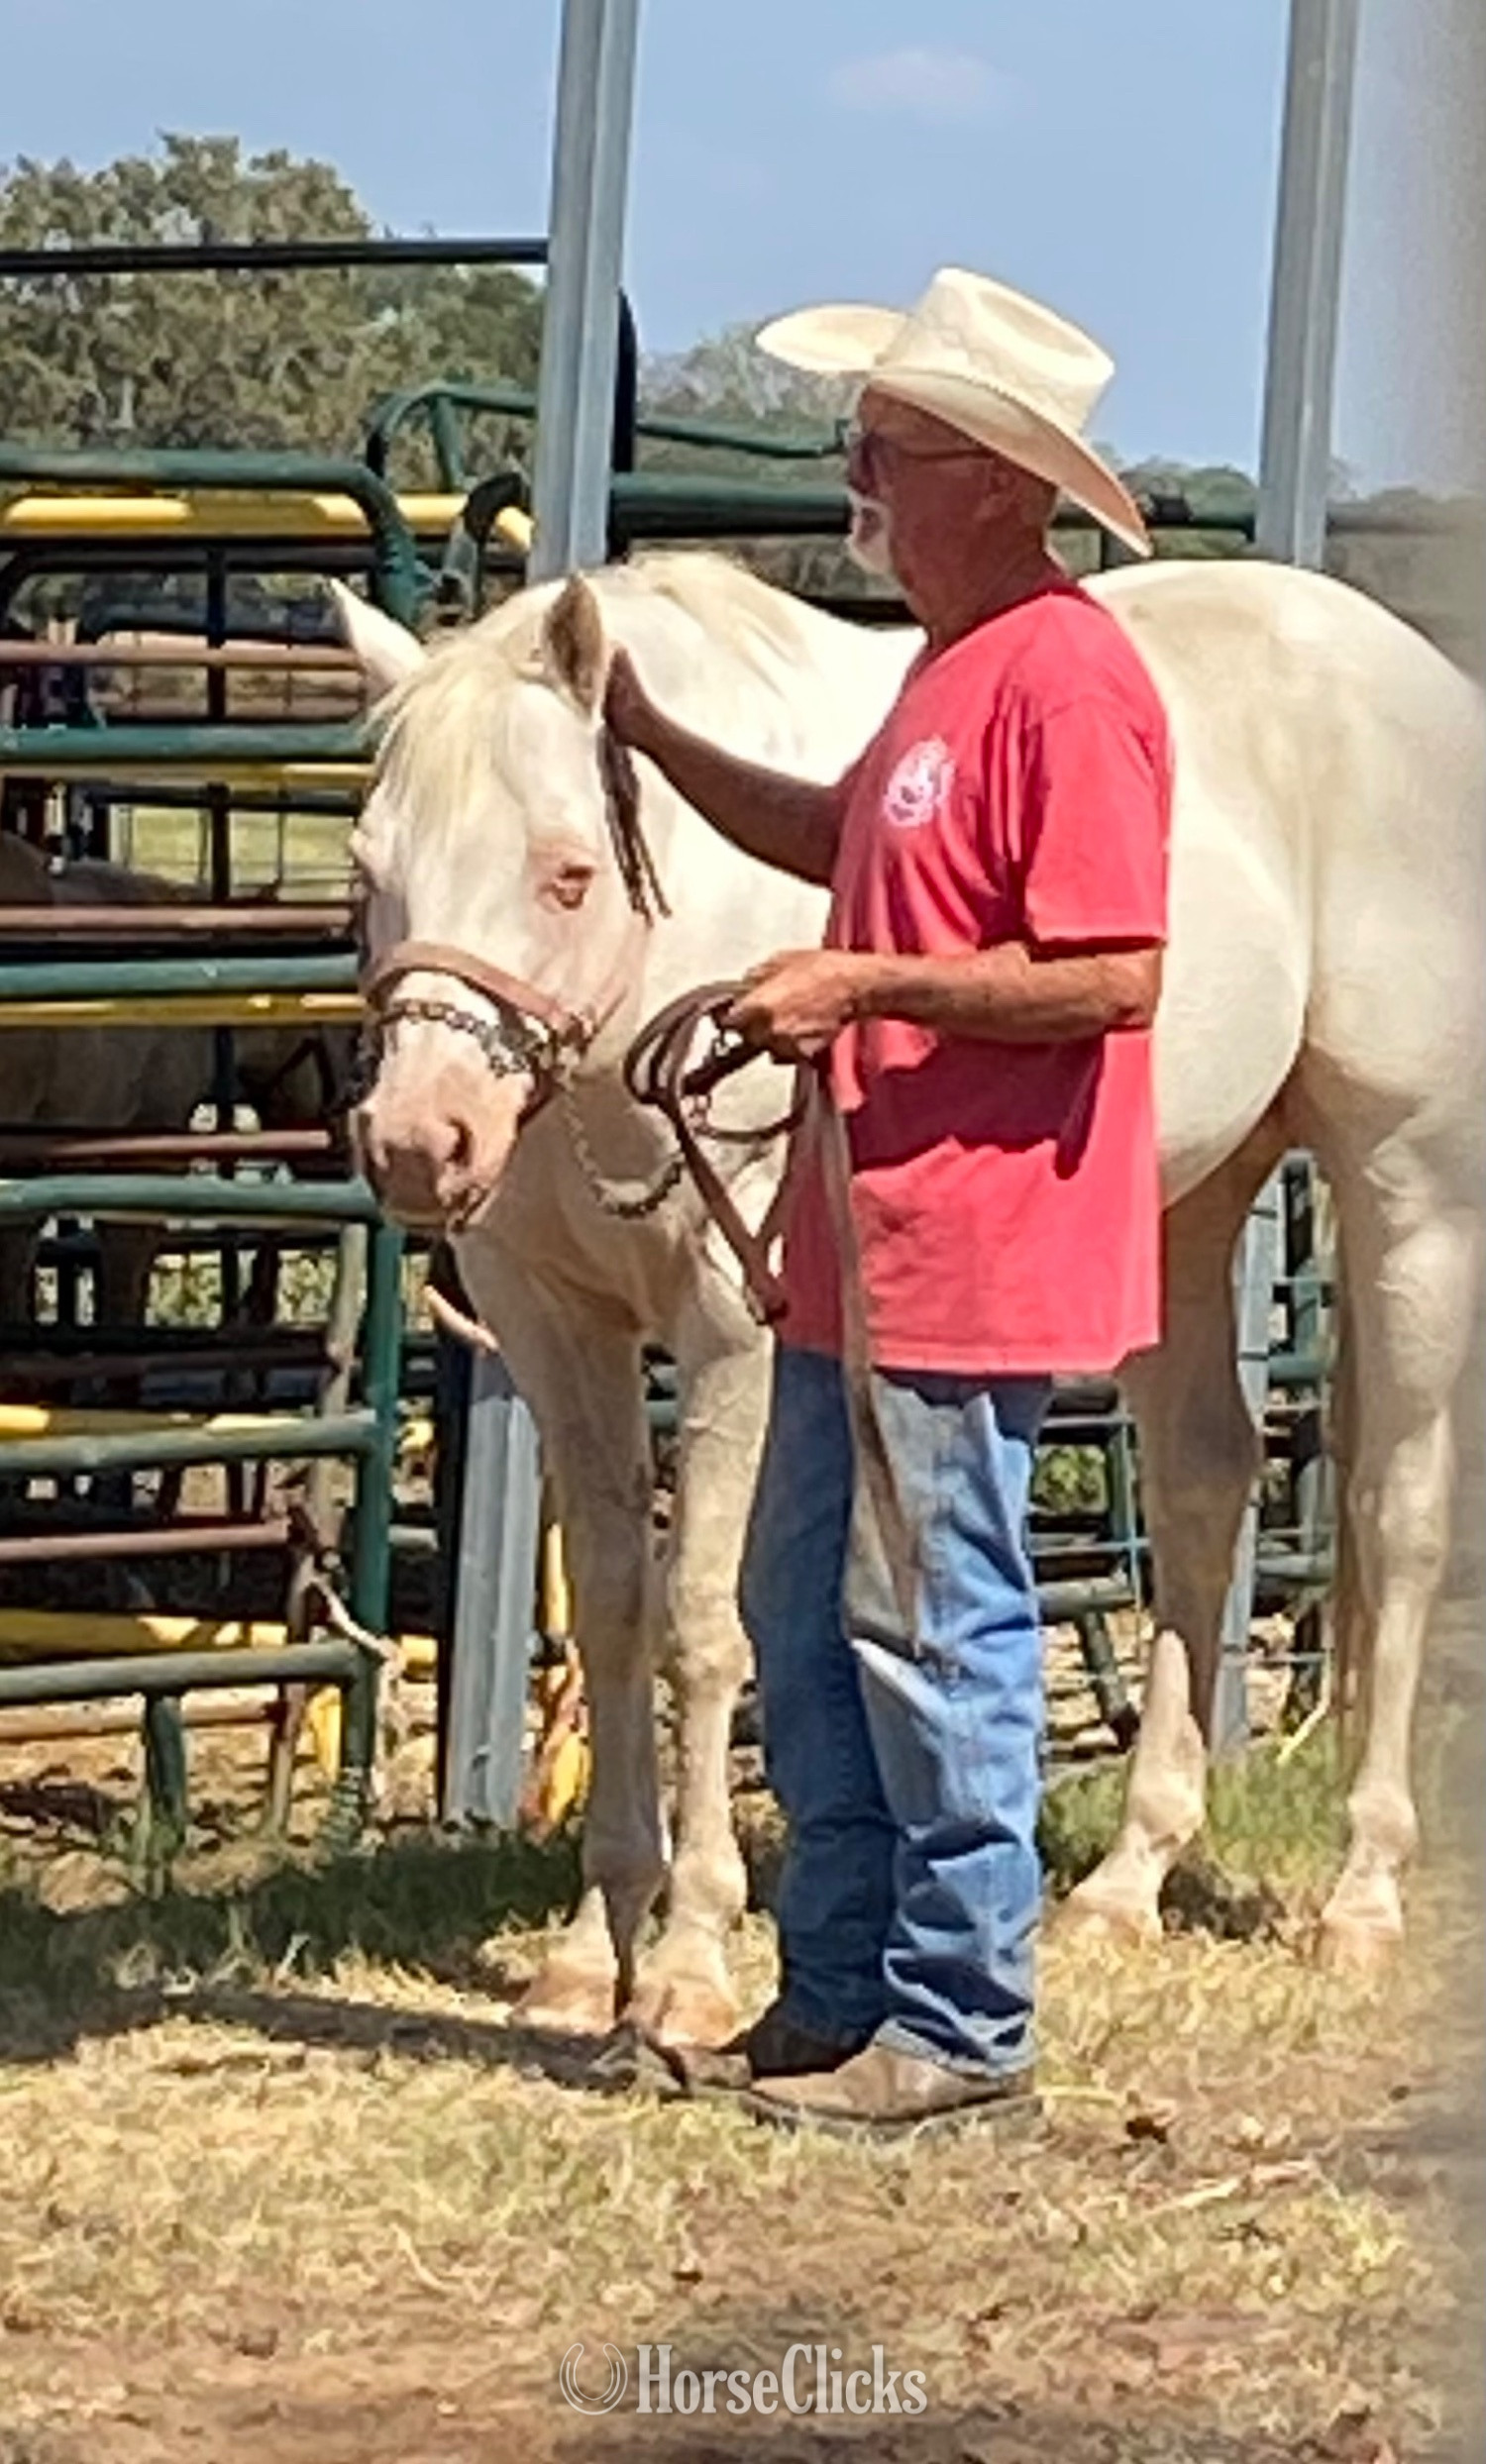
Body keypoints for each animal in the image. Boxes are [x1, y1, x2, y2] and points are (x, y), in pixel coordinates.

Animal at [336, 548, 1484, 2050]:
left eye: (567, 873)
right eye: (367, 869)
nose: (421, 1142)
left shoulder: (732, 1330)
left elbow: (704, 1628)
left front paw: (691, 1964)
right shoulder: (553, 1324)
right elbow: (614, 1612)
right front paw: (591, 1952)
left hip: (1411, 1187)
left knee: (1397, 1515)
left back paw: (1362, 1895)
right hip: (1187, 1206)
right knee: (1202, 1486)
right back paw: (1127, 1882)